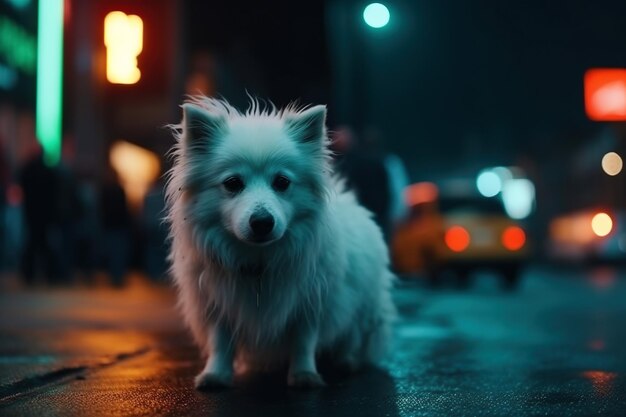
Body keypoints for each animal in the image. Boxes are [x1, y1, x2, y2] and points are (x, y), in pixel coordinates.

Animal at [163, 96, 392, 386]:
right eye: (233, 183)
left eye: (282, 182)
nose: (262, 222)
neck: (259, 261)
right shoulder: (215, 305)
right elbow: (220, 342)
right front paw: (216, 375)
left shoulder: (311, 304)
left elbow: (304, 342)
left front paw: (304, 376)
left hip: (364, 308)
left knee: (353, 337)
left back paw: (347, 361)